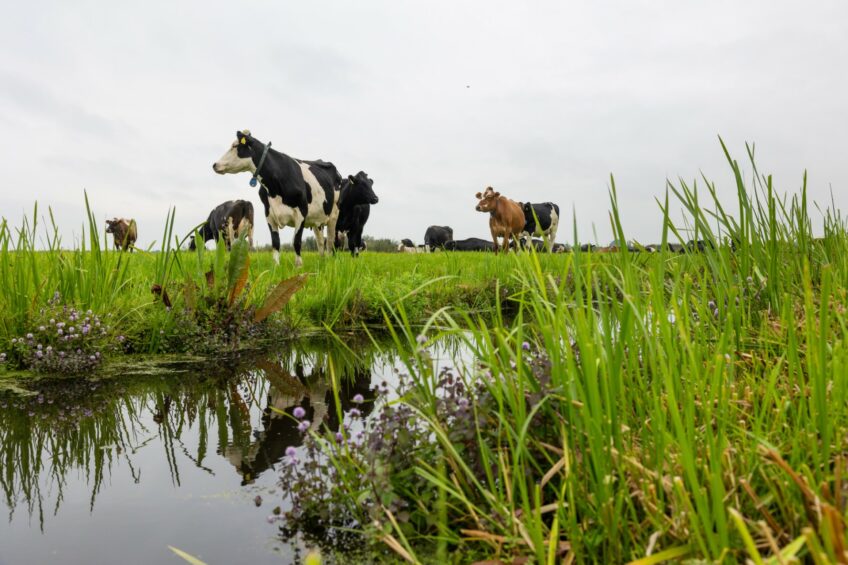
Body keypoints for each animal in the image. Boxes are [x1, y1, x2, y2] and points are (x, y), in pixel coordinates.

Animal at [212, 130, 342, 266]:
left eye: (234, 146)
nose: (214, 165)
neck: (275, 188)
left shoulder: (301, 212)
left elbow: (296, 241)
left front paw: (299, 265)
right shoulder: (269, 214)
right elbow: (275, 242)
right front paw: (276, 265)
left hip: (334, 214)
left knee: (331, 241)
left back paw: (330, 261)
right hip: (317, 220)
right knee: (321, 242)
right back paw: (322, 262)